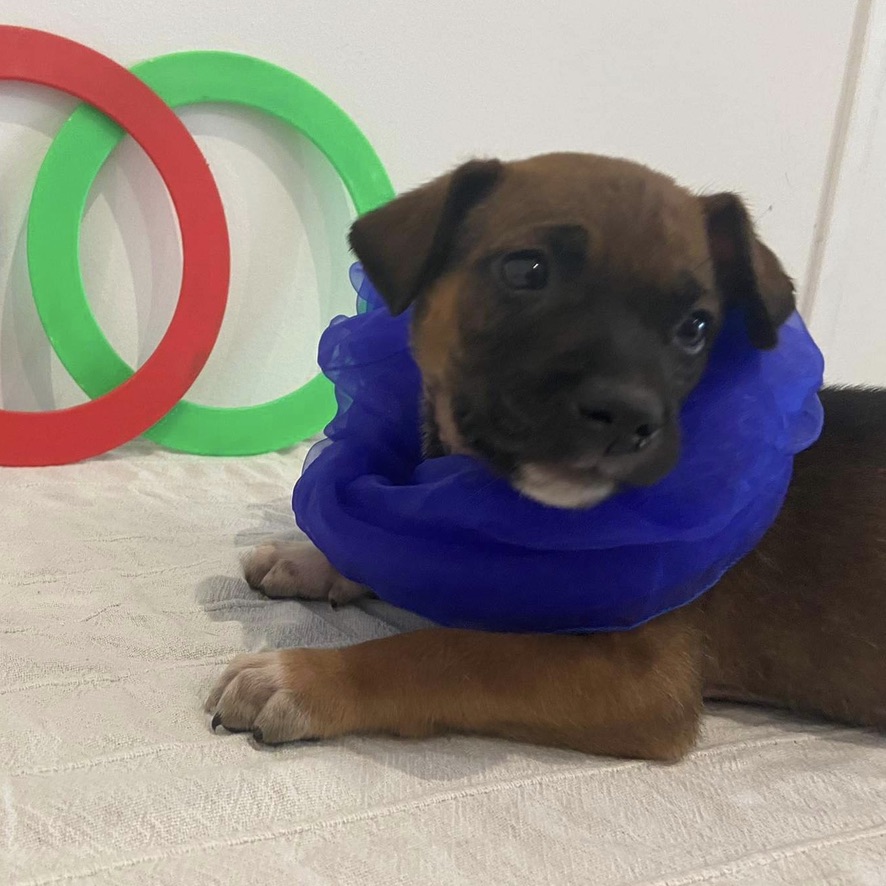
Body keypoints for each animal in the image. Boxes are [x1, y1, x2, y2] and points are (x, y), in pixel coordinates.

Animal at [205, 154, 884, 764]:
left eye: (696, 327)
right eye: (526, 271)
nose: (628, 416)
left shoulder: (639, 677)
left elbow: (447, 652)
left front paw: (307, 678)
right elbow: (395, 546)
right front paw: (310, 559)